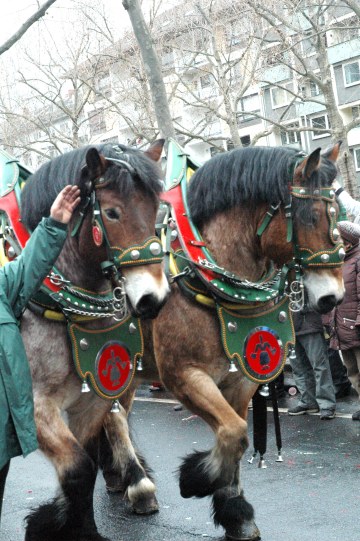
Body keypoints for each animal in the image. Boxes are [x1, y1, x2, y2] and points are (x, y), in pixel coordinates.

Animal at [15, 140, 170, 540]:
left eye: (156, 210)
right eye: (112, 213)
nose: (153, 299)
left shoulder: (91, 400)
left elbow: (82, 471)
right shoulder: (35, 407)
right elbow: (78, 469)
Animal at [99, 141, 346, 536]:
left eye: (337, 214)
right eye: (309, 216)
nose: (332, 298)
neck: (205, 280)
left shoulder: (241, 377)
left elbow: (238, 437)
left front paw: (235, 510)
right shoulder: (184, 376)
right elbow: (233, 432)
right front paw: (197, 480)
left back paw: (120, 476)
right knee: (114, 419)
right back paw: (138, 485)